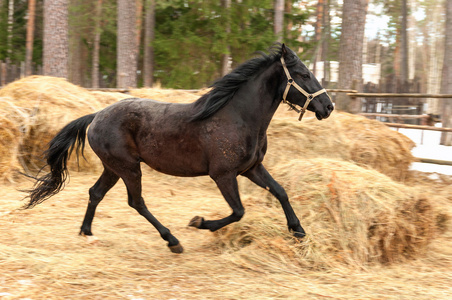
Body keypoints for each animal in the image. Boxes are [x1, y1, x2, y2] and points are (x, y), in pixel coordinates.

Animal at [26, 44, 334, 253]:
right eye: (304, 74)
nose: (328, 107)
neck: (238, 117)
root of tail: (96, 115)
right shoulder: (223, 175)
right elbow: (238, 211)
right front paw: (198, 222)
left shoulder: (251, 168)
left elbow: (280, 191)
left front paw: (298, 230)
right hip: (129, 168)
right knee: (136, 202)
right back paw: (172, 240)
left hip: (113, 168)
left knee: (95, 193)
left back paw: (87, 232)